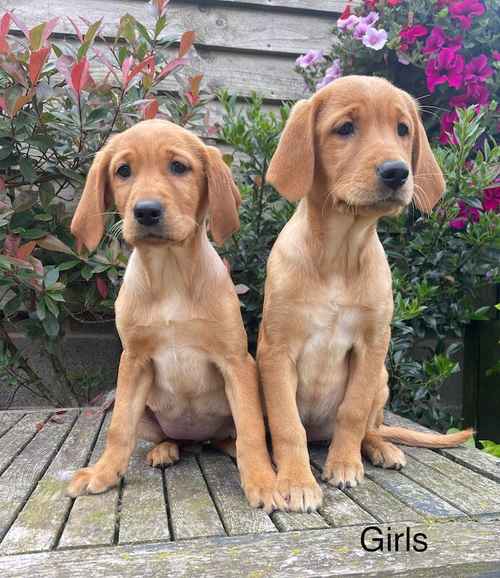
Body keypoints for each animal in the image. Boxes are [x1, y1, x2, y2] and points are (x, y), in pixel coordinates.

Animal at [67, 119, 282, 510]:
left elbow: (251, 431)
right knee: (157, 434)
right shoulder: (133, 361)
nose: (146, 211)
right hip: (145, 410)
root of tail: (195, 440)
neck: (170, 278)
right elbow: (118, 428)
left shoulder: (236, 361)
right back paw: (165, 449)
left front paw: (262, 479)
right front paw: (102, 472)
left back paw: (229, 448)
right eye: (123, 171)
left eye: (179, 167)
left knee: (232, 434)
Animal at [258, 75, 472, 508]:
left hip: (382, 379)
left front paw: (343, 464)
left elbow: (352, 412)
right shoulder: (276, 350)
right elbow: (289, 425)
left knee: (371, 426)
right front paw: (296, 480)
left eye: (403, 130)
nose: (397, 172)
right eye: (345, 128)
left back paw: (380, 448)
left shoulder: (373, 344)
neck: (338, 256)